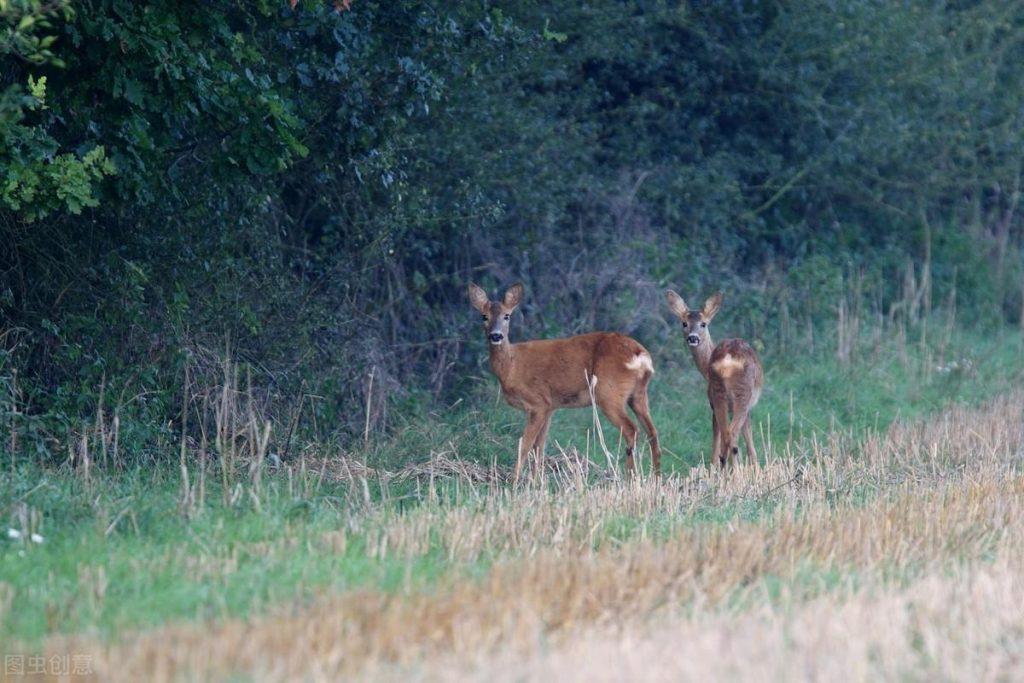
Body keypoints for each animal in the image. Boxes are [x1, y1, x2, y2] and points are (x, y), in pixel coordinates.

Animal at [468, 282, 659, 481]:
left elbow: (525, 444)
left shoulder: (538, 402)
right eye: (484, 316)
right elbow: (539, 446)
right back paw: (656, 477)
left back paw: (632, 478)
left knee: (631, 429)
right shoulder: (550, 407)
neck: (511, 367)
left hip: (608, 393)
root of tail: (640, 355)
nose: (496, 336)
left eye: (507, 315)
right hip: (638, 394)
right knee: (652, 432)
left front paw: (514, 481)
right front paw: (535, 482)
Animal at [663, 288, 761, 471]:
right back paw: (733, 472)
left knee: (726, 434)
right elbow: (749, 442)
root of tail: (727, 360)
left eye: (703, 324)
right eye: (684, 323)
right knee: (731, 435)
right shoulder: (746, 406)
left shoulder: (712, 403)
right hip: (741, 394)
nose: (693, 338)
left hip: (718, 394)